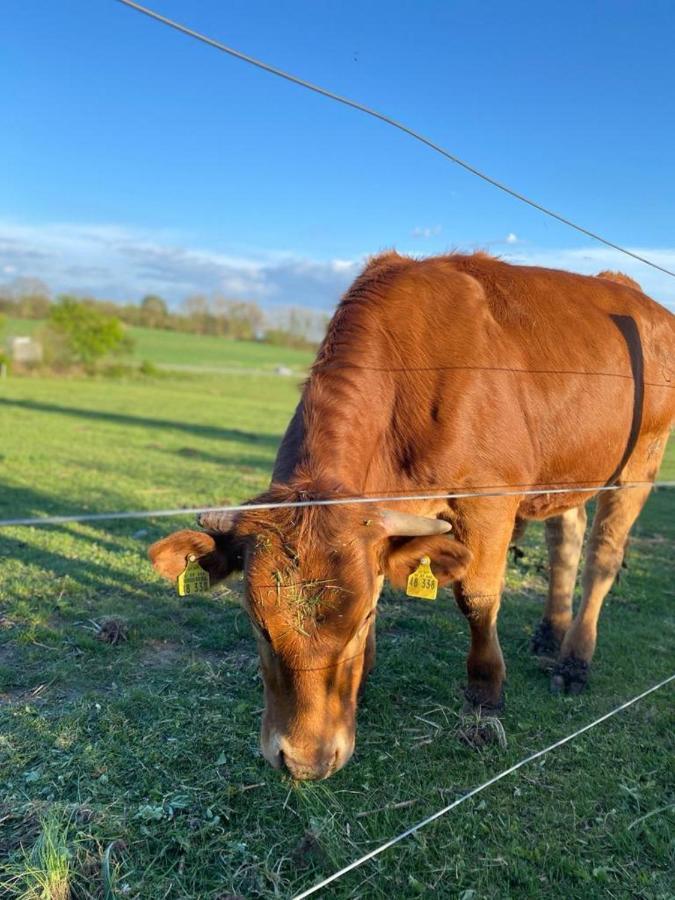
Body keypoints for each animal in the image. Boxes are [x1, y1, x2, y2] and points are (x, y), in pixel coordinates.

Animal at [149, 253, 675, 780]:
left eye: (361, 619)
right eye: (257, 623)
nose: (304, 760)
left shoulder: (489, 499)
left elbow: (477, 598)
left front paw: (486, 691)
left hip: (641, 462)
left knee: (602, 556)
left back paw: (574, 662)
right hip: (568, 475)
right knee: (567, 538)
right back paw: (550, 634)